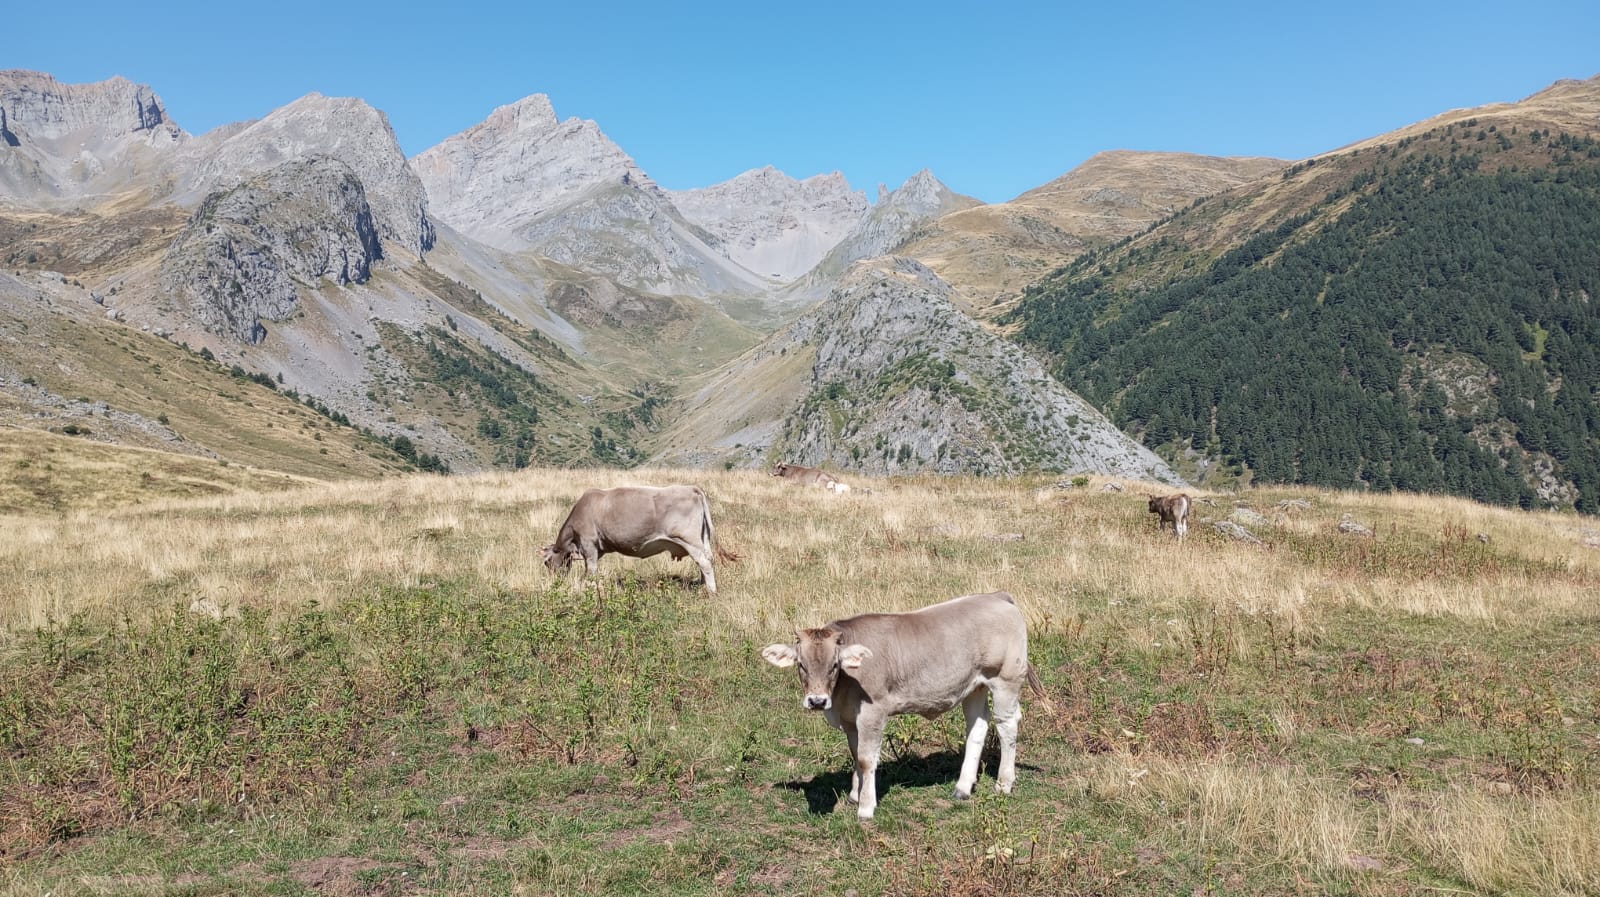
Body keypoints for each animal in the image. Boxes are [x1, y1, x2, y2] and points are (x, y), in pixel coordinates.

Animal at [540, 486, 732, 591]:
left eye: (547, 562)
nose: (553, 582)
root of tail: (691, 487)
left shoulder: (589, 544)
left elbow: (592, 570)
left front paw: (590, 587)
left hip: (689, 539)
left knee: (704, 563)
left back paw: (711, 591)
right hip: (702, 539)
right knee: (707, 559)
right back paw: (702, 585)